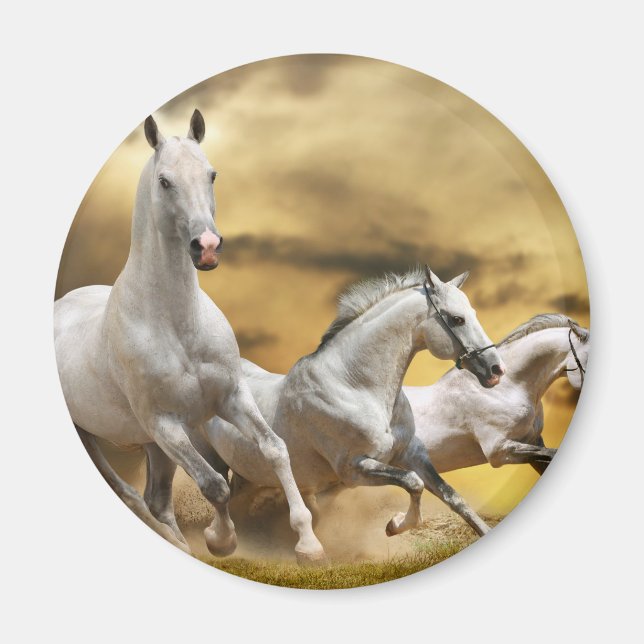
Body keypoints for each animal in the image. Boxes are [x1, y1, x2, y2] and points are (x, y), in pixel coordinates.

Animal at [54, 110, 324, 562]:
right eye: (165, 181)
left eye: (211, 174)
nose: (207, 246)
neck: (178, 327)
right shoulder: (164, 423)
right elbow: (214, 483)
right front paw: (221, 540)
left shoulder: (231, 397)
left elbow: (274, 448)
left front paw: (308, 541)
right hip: (101, 436)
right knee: (132, 496)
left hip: (151, 446)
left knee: (156, 501)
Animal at [203, 267, 506, 547]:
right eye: (457, 319)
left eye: (473, 313)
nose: (496, 369)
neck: (356, 386)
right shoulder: (354, 469)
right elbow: (413, 482)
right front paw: (395, 525)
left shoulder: (411, 453)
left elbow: (452, 497)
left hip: (248, 476)